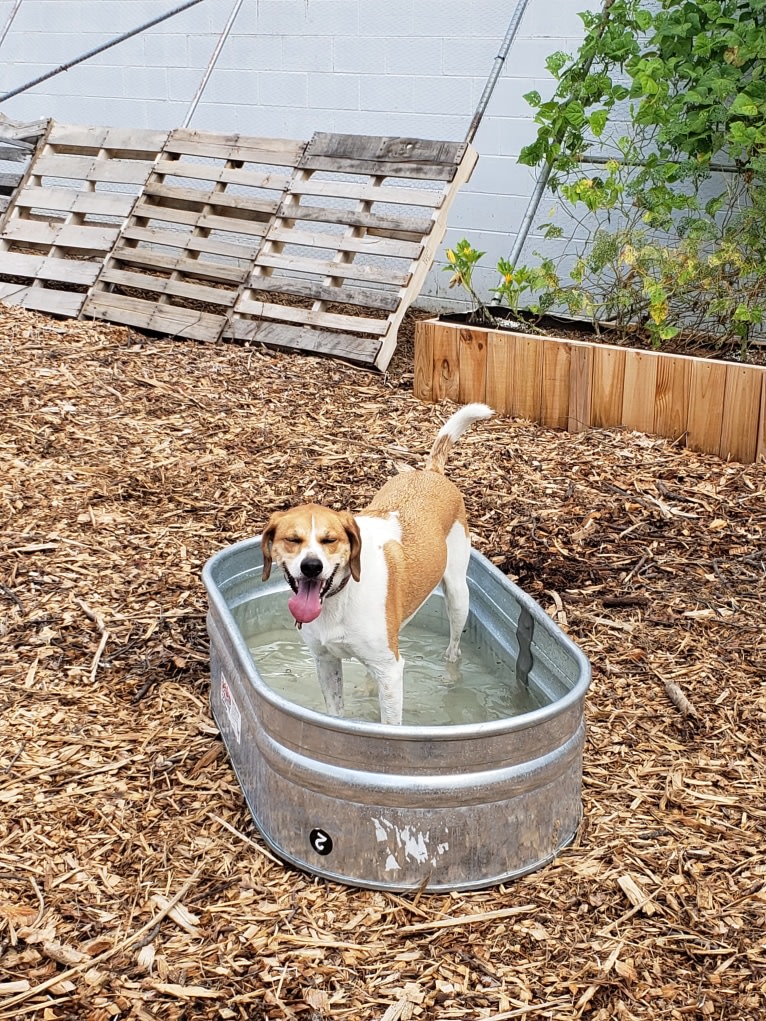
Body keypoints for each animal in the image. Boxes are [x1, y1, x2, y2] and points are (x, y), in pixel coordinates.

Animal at [261, 400, 494, 726]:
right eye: (292, 539)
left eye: (330, 540)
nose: (311, 567)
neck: (340, 597)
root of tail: (430, 473)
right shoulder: (326, 661)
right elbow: (336, 709)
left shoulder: (392, 672)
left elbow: (391, 724)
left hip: (458, 595)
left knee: (453, 650)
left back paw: (450, 678)